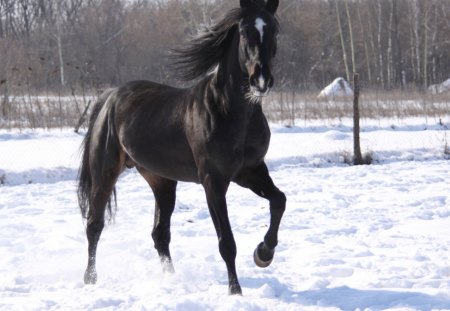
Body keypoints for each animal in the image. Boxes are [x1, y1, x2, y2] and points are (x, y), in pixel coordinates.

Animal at [77, 0, 284, 296]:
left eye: (274, 31)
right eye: (245, 31)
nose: (261, 80)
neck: (230, 111)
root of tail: (110, 97)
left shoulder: (251, 171)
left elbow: (279, 200)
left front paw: (263, 254)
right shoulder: (214, 182)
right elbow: (226, 242)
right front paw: (235, 291)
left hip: (161, 181)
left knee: (159, 234)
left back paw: (170, 279)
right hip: (105, 173)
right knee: (95, 225)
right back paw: (91, 278)